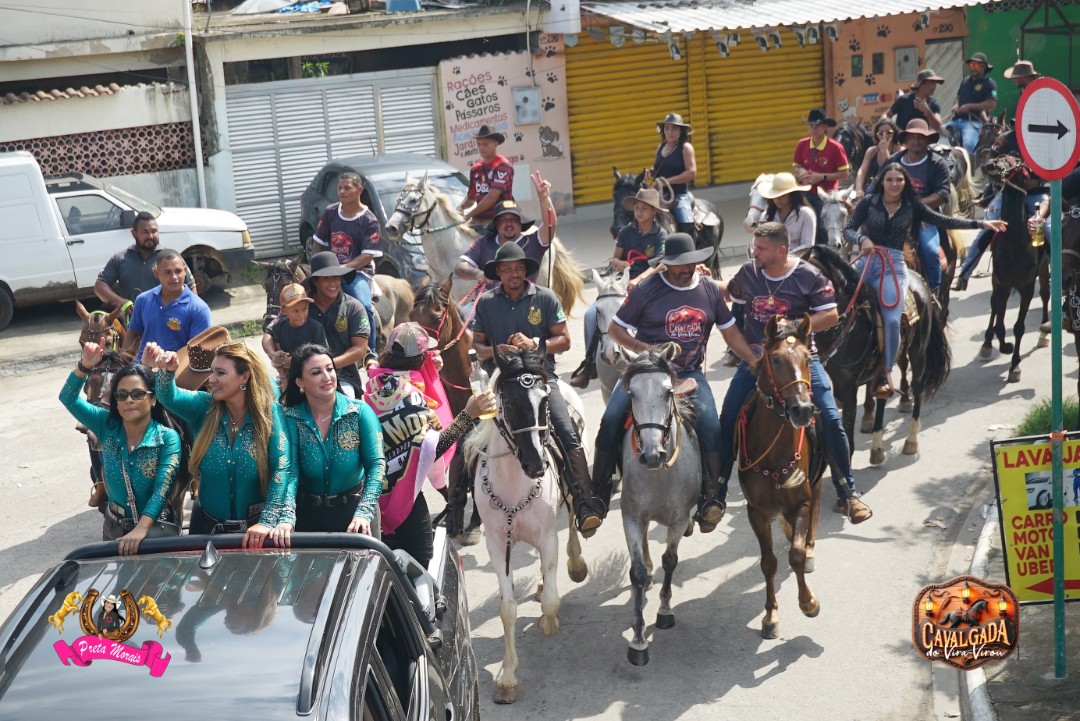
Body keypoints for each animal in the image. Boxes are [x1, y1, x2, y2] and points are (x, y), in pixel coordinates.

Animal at [461, 346, 588, 704]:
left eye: (544, 401)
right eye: (509, 403)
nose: (536, 465)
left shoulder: (547, 538)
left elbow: (551, 602)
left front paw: (549, 622)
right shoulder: (496, 544)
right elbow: (507, 608)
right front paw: (507, 678)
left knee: (572, 524)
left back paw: (576, 565)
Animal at [618, 346, 700, 666]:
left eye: (667, 392)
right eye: (631, 393)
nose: (652, 455)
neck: (660, 474)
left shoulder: (679, 519)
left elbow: (671, 560)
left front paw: (664, 612)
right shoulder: (630, 516)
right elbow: (637, 572)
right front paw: (638, 641)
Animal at [738, 315, 823, 639]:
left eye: (807, 357)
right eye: (775, 359)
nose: (802, 410)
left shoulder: (801, 502)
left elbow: (795, 556)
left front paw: (808, 602)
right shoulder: (756, 512)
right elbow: (768, 562)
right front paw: (770, 615)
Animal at [978, 158, 1050, 383]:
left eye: (1014, 161)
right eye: (997, 156)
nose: (990, 164)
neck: (1014, 244)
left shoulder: (1026, 286)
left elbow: (1018, 327)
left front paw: (1014, 366)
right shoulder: (1002, 283)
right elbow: (1000, 323)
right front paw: (1005, 346)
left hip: (1043, 267)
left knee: (1045, 294)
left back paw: (1045, 329)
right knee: (994, 306)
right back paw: (986, 344)